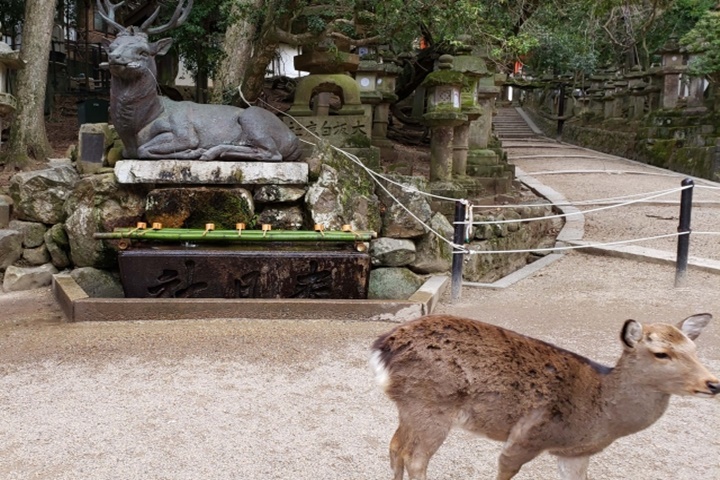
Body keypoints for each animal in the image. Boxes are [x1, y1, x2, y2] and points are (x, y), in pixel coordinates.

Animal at [95, 0, 300, 161]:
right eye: (111, 48)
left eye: (143, 51)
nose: (114, 58)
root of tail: (294, 140)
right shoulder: (126, 150)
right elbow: (132, 152)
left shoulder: (183, 131)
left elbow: (144, 149)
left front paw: (192, 152)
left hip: (253, 118)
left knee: (273, 154)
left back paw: (210, 152)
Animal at [372, 314, 720, 478]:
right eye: (662, 353)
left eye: (694, 348)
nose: (713, 383)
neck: (602, 418)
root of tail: (383, 346)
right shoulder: (529, 435)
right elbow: (505, 470)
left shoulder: (574, 453)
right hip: (432, 405)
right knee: (415, 458)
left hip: (410, 405)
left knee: (395, 446)